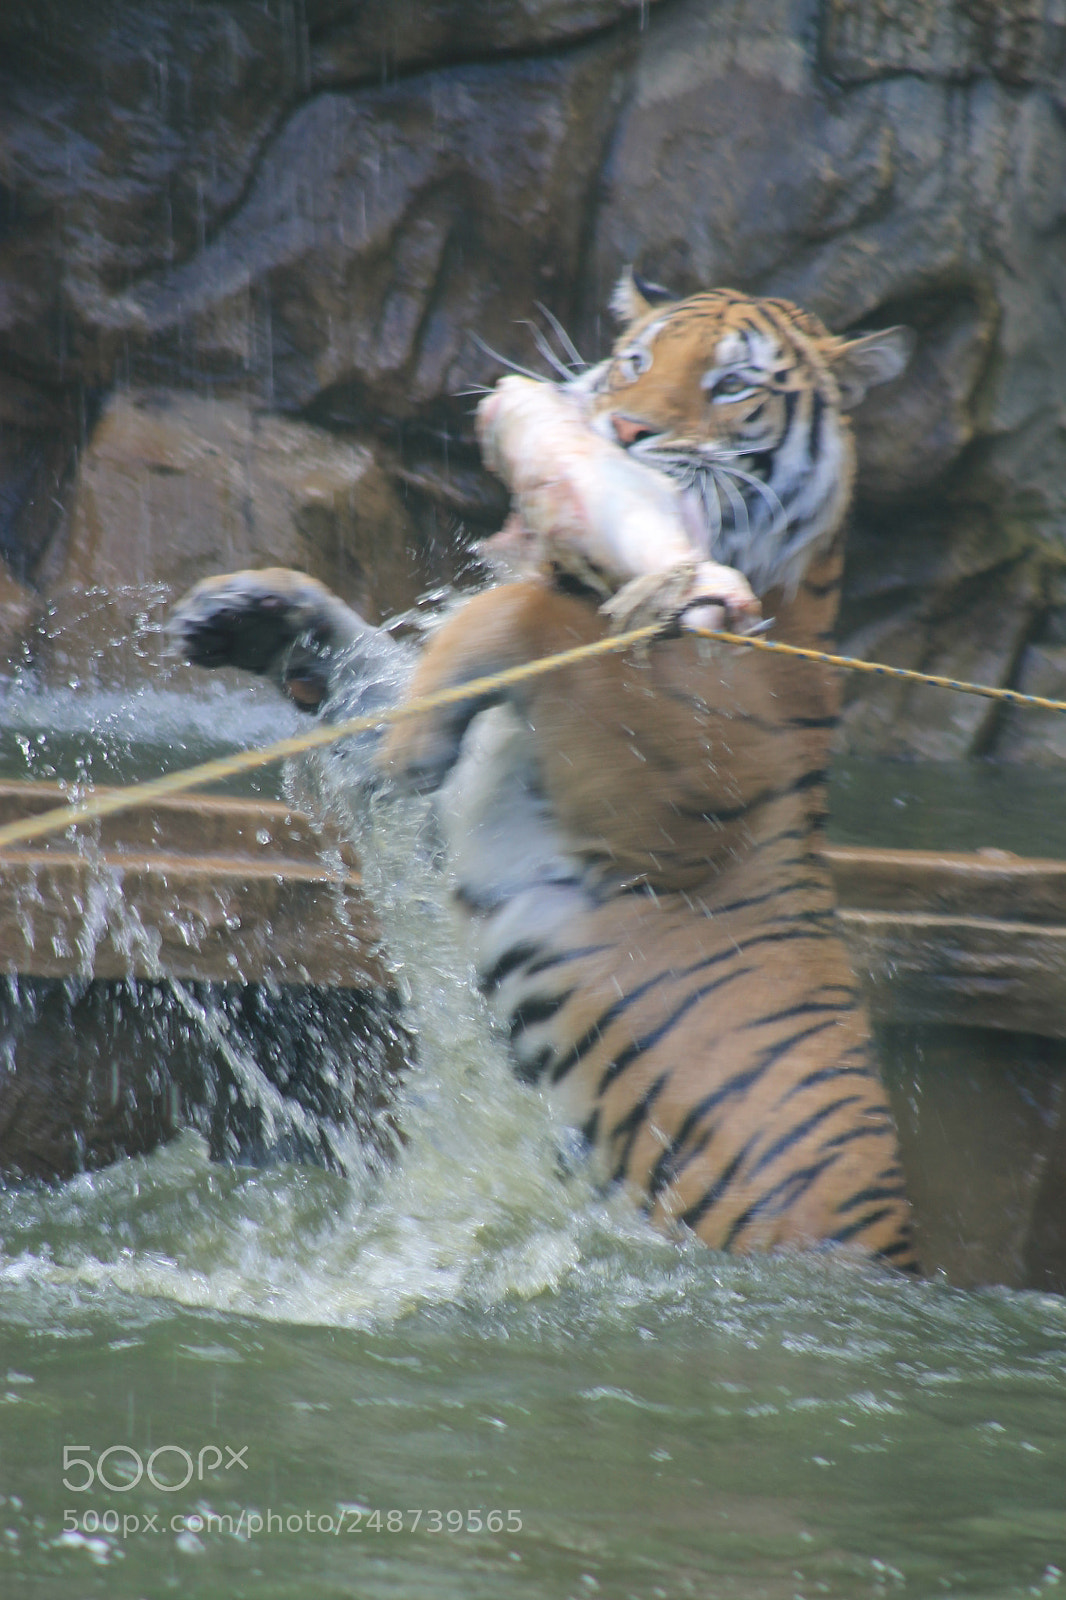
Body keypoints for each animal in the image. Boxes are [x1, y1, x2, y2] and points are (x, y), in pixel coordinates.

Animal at [171, 270, 919, 1271]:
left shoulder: (655, 806)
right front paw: (252, 611)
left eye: (730, 387)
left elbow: (538, 618)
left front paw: (415, 728)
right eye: (636, 361)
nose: (623, 430)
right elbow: (390, 671)